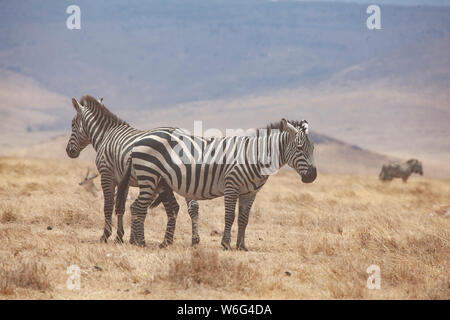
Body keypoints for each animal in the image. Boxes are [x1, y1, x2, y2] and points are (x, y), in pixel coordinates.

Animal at [65, 96, 200, 246]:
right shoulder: (124, 181)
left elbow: (108, 206)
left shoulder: (107, 175)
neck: (105, 136)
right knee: (192, 206)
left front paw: (106, 236)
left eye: (72, 124)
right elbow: (120, 208)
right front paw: (119, 237)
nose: (68, 151)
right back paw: (193, 240)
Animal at [117, 117, 316, 250]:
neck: (255, 157)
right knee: (140, 207)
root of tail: (139, 141)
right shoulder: (231, 186)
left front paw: (241, 246)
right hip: (148, 176)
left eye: (313, 148)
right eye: (299, 148)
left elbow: (244, 219)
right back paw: (141, 242)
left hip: (156, 181)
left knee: (136, 207)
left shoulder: (250, 193)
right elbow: (230, 217)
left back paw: (135, 241)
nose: (312, 176)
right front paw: (226, 243)